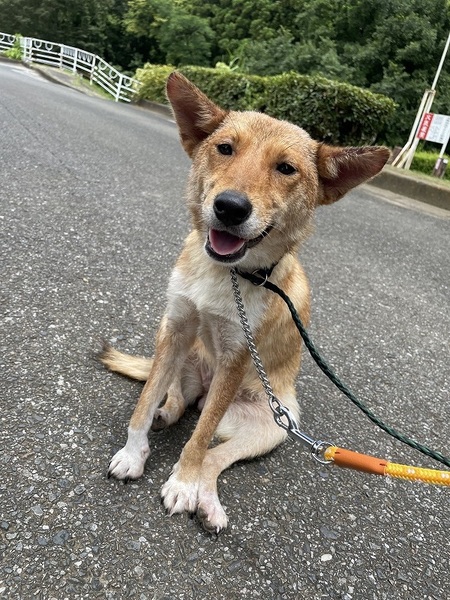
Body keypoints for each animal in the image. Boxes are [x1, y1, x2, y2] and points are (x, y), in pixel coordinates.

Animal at [101, 72, 389, 533]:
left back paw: (205, 499)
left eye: (286, 168)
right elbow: (143, 404)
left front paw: (183, 483)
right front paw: (132, 452)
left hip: (274, 425)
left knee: (211, 449)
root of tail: (203, 390)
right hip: (179, 354)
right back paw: (168, 413)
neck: (229, 275)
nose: (230, 207)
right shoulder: (176, 326)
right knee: (176, 399)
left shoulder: (236, 357)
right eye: (225, 148)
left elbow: (199, 441)